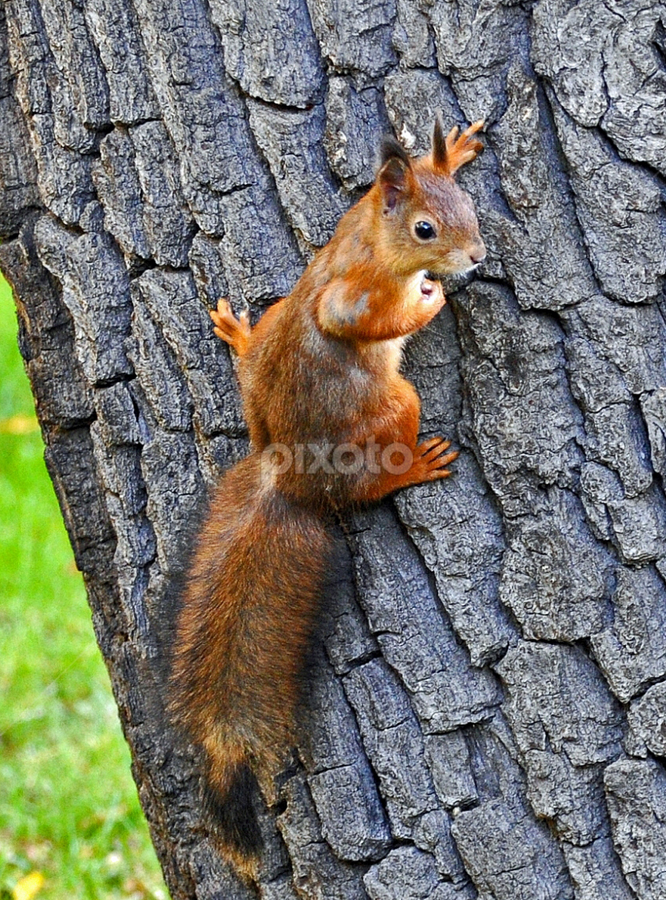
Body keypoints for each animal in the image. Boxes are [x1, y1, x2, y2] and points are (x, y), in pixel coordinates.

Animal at [168, 118, 486, 877]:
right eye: (427, 229)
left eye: (467, 205)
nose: (477, 258)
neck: (372, 236)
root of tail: (289, 476)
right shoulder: (348, 293)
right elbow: (357, 321)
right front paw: (428, 299)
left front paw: (454, 149)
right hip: (394, 407)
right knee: (372, 477)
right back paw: (409, 469)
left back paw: (243, 336)